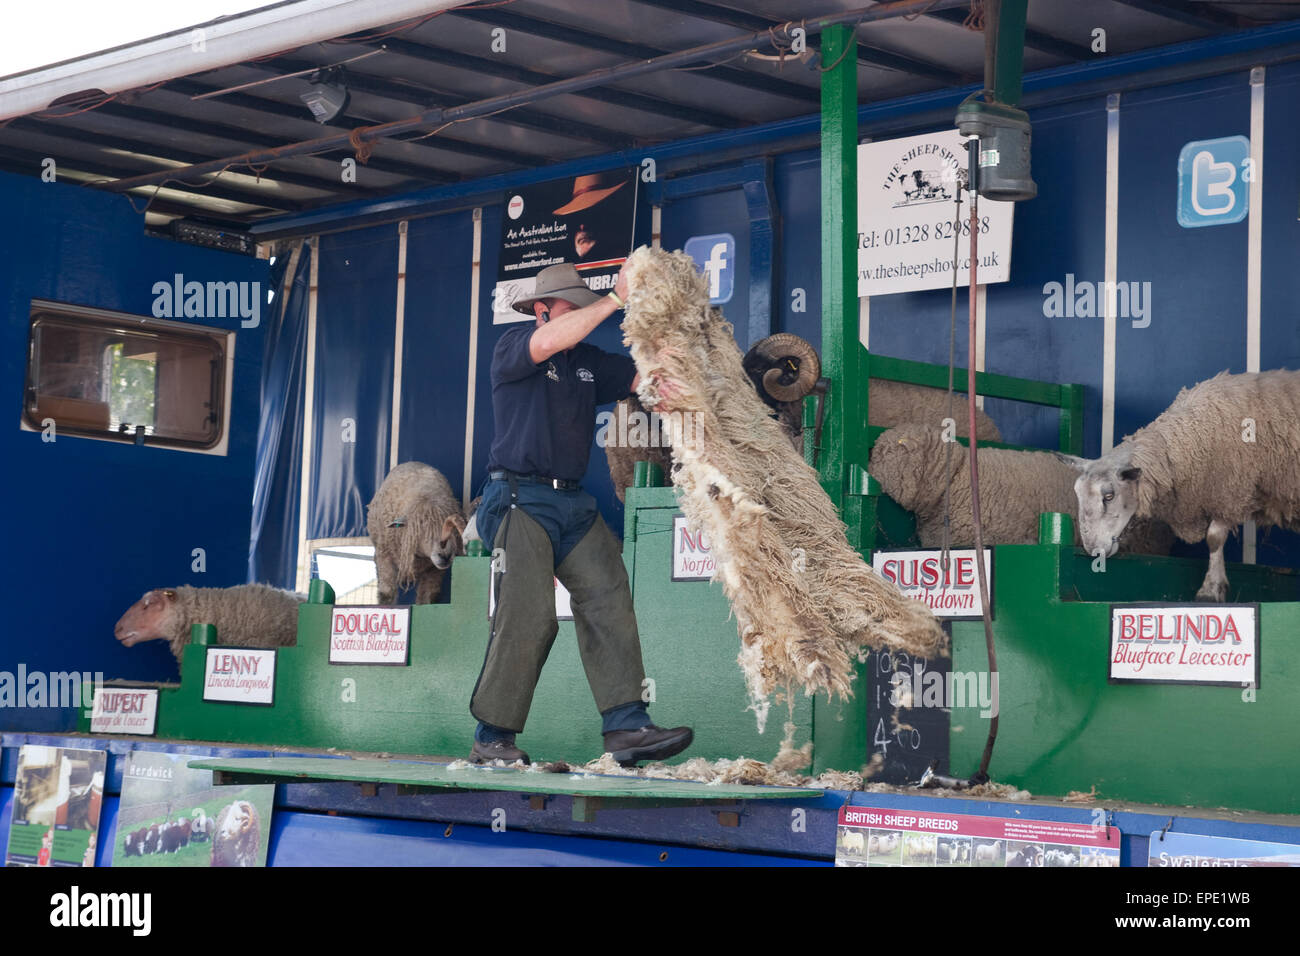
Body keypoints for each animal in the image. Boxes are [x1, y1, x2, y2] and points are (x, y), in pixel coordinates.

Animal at [367, 462, 466, 604]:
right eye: (421, 529)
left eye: (452, 528)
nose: (445, 555)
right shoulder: (384, 556)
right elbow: (387, 593)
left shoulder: (433, 570)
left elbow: (427, 598)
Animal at [1061, 369, 1300, 601]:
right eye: (1077, 494)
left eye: (1109, 496)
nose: (1093, 550)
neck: (1191, 437)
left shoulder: (1229, 491)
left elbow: (1214, 538)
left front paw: (1210, 590)